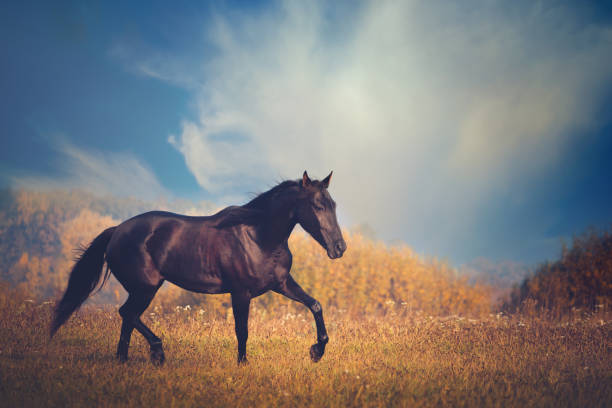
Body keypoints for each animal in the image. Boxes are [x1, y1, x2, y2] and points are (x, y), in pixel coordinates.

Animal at [50, 171, 346, 364]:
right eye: (317, 205)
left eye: (334, 204)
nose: (339, 247)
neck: (258, 237)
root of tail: (116, 231)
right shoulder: (240, 293)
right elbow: (242, 330)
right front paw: (243, 364)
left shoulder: (281, 283)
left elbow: (315, 305)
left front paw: (316, 351)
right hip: (146, 288)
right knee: (127, 314)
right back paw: (157, 353)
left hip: (142, 289)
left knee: (127, 319)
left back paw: (123, 360)